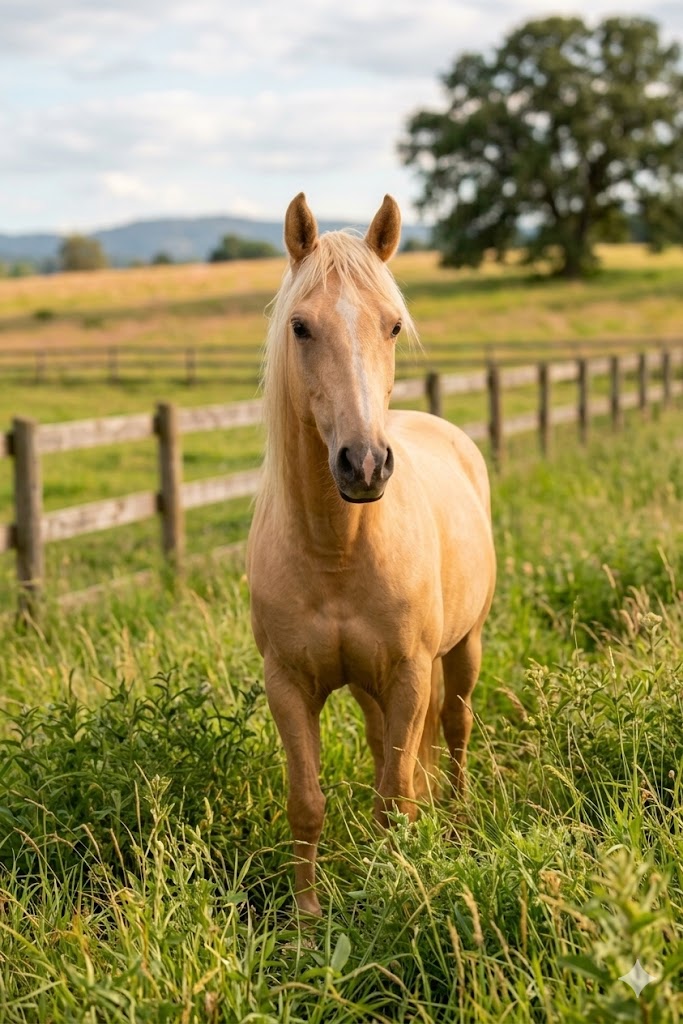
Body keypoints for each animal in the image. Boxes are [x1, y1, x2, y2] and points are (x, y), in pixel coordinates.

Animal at [246, 193, 496, 915]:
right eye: (301, 327)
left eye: (392, 326)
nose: (364, 464)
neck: (336, 548)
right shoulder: (288, 685)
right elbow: (306, 802)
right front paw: (306, 920)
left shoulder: (410, 673)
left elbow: (396, 795)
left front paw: (394, 889)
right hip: (366, 685)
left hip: (464, 647)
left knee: (456, 727)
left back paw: (460, 823)